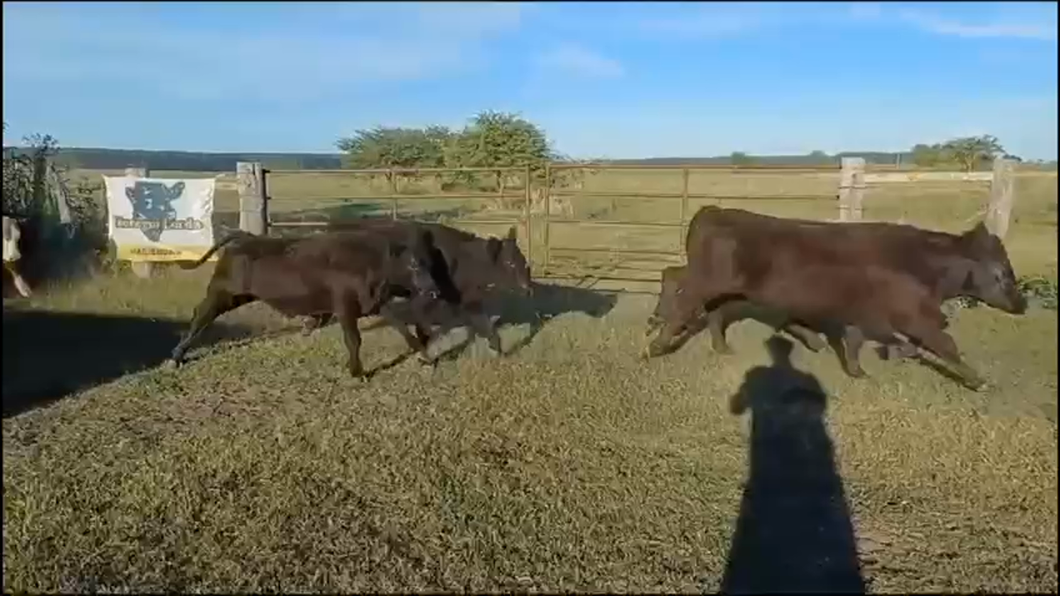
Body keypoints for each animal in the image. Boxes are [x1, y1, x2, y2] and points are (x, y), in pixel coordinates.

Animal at [168, 224, 438, 377]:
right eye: (413, 265)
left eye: (426, 262)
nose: (434, 291)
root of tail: (246, 237)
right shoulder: (345, 307)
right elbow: (354, 340)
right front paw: (357, 372)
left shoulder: (375, 303)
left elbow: (404, 329)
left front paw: (426, 357)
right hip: (221, 292)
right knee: (201, 316)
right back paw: (176, 357)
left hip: (234, 296)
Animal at [644, 206, 1026, 388]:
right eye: (1001, 272)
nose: (1022, 304)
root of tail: (715, 210)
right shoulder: (911, 314)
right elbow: (942, 343)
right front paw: (978, 381)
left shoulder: (864, 314)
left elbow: (860, 340)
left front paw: (862, 366)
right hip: (708, 279)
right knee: (683, 298)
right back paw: (655, 343)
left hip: (720, 283)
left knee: (693, 294)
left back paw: (715, 344)